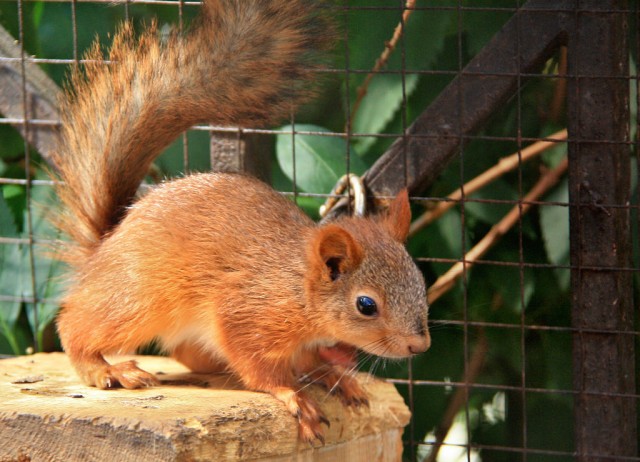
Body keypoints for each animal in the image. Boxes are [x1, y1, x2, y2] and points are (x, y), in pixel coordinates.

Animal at [51, 0, 430, 442]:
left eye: (421, 281)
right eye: (366, 305)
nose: (419, 347)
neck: (297, 289)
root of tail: (106, 244)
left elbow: (307, 362)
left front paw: (335, 377)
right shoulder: (244, 313)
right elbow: (256, 365)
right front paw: (292, 395)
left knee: (185, 352)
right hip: (137, 299)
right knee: (77, 325)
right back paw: (105, 369)